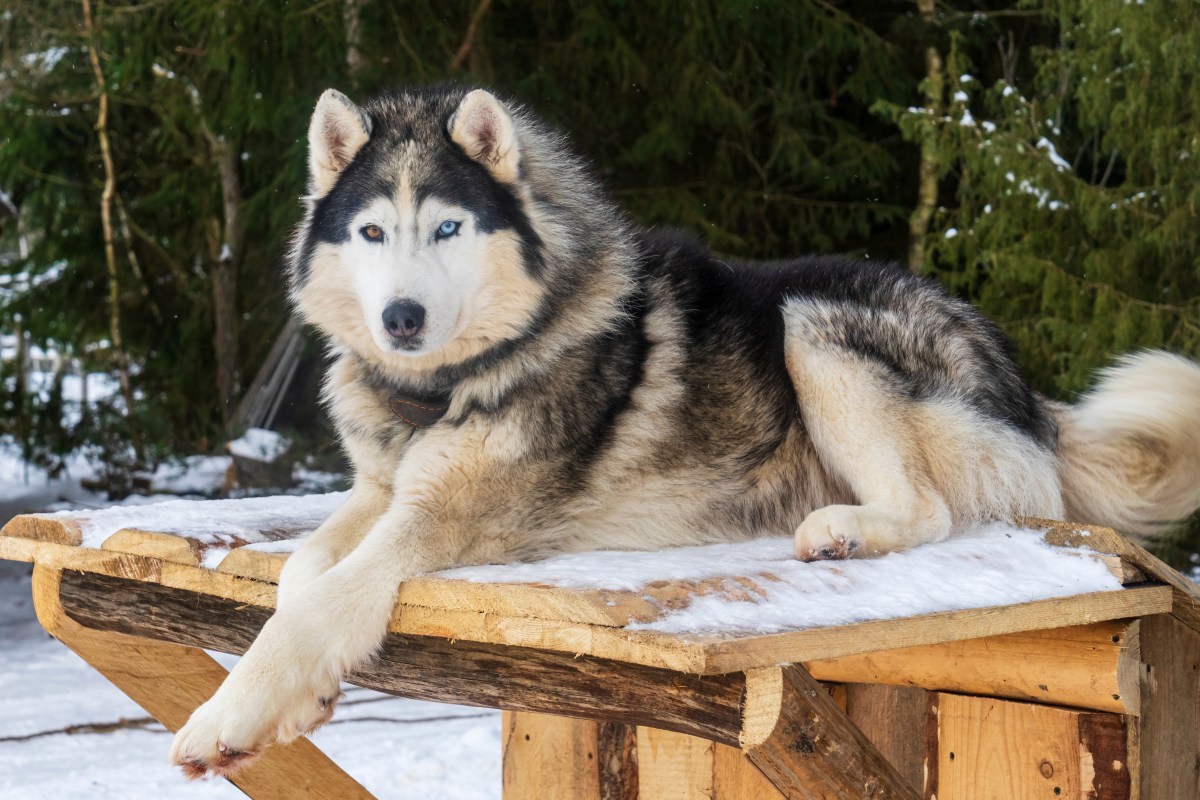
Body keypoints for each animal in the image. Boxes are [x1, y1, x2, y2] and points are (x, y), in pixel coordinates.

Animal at [166, 82, 1200, 777]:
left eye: (449, 228)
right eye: (373, 233)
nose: (403, 320)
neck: (450, 384)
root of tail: (1025, 389)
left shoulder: (442, 519)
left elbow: (316, 603)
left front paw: (228, 717)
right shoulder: (380, 492)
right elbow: (300, 572)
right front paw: (300, 694)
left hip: (812, 323)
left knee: (933, 509)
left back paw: (842, 532)